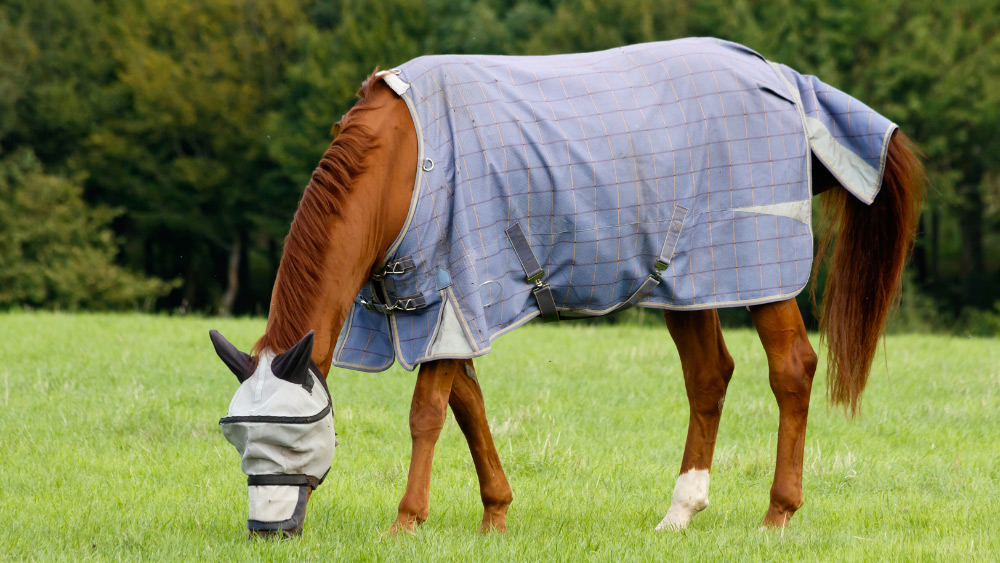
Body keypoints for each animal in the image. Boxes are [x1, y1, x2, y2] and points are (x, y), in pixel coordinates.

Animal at [209, 37, 920, 536]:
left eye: (292, 437)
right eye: (238, 440)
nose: (268, 532)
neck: (404, 161)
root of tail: (784, 80)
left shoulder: (450, 296)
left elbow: (428, 413)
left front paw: (407, 521)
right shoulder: (443, 309)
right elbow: (468, 405)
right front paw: (495, 513)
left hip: (759, 273)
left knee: (792, 370)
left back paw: (778, 513)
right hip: (684, 283)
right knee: (709, 377)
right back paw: (680, 512)